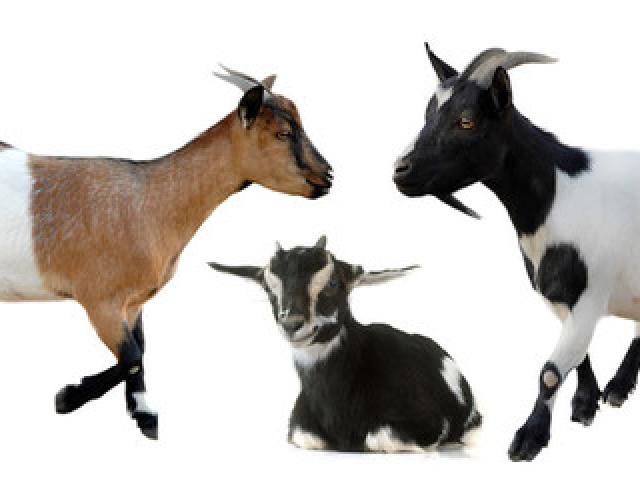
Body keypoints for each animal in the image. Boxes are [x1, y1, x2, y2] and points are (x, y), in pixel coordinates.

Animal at [0, 66, 332, 439]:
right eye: (282, 133)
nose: (327, 176)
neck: (147, 202)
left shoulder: (132, 302)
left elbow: (140, 351)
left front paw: (144, 414)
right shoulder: (100, 300)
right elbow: (131, 357)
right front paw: (67, 397)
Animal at [208, 236, 481, 452]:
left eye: (332, 283)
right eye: (268, 288)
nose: (291, 325)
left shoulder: (428, 423)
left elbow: (379, 436)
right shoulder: (300, 429)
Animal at [393, 44, 640, 461]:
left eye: (467, 121)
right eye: (428, 114)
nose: (400, 170)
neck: (557, 196)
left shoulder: (589, 294)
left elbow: (550, 372)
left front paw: (529, 438)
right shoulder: (560, 297)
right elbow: (578, 357)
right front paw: (585, 404)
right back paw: (618, 388)